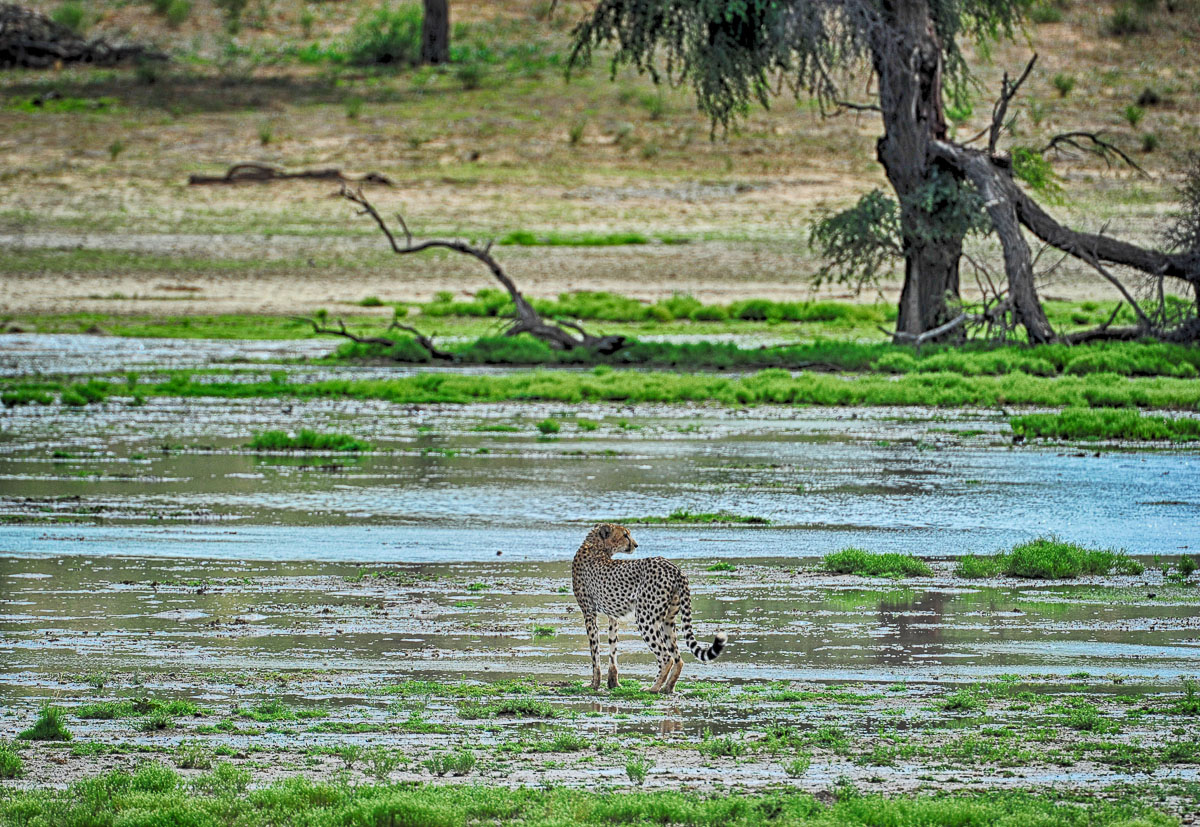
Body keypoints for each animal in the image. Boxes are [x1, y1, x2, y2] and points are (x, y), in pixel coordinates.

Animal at [571, 523, 728, 694]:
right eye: (625, 535)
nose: (635, 545)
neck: (596, 546)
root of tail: (675, 568)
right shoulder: (612, 616)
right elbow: (612, 649)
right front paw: (613, 683)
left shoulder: (589, 613)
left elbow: (595, 653)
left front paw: (594, 684)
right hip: (667, 620)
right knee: (678, 658)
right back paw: (668, 687)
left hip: (645, 619)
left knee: (667, 657)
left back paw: (653, 688)